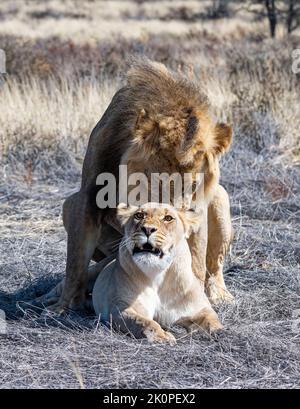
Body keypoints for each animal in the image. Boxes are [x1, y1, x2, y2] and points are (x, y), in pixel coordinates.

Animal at [49, 58, 233, 312]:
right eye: (157, 181)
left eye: (195, 185)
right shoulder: (87, 196)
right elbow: (75, 260)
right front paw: (64, 306)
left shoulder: (200, 208)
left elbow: (196, 259)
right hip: (68, 205)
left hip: (221, 199)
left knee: (214, 266)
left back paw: (219, 295)